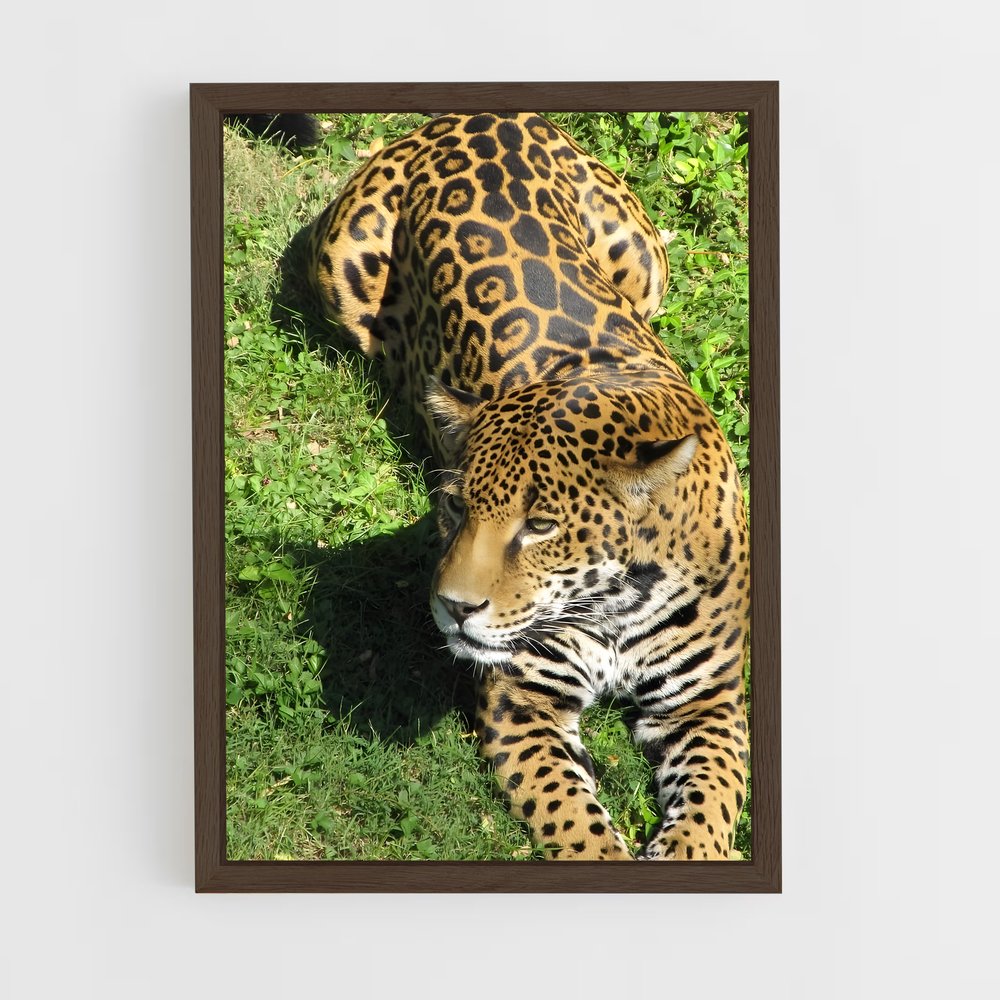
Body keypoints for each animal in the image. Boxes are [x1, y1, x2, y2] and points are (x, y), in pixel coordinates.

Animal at [306, 112, 749, 860]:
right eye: (455, 507)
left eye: (540, 527)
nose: (453, 608)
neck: (617, 607)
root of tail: (474, 115)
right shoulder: (524, 699)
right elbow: (575, 819)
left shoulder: (708, 700)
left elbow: (712, 802)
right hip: (343, 263)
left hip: (645, 263)